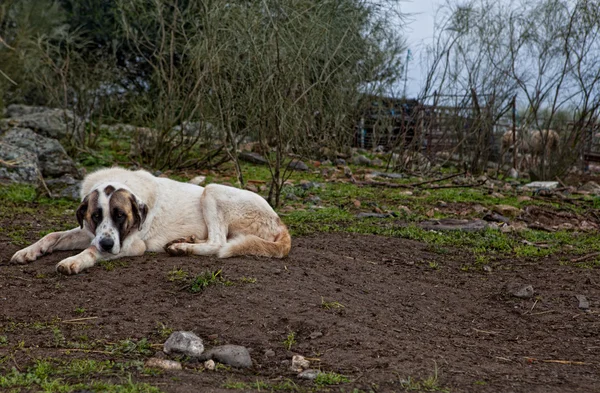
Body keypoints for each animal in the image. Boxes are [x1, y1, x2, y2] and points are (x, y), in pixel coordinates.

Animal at [9, 167, 290, 274]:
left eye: (120, 216)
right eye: (96, 216)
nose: (107, 245)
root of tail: (280, 221)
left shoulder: (131, 245)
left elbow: (90, 250)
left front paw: (73, 261)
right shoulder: (91, 232)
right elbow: (53, 235)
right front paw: (28, 252)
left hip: (212, 190)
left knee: (218, 242)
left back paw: (182, 247)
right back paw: (185, 240)